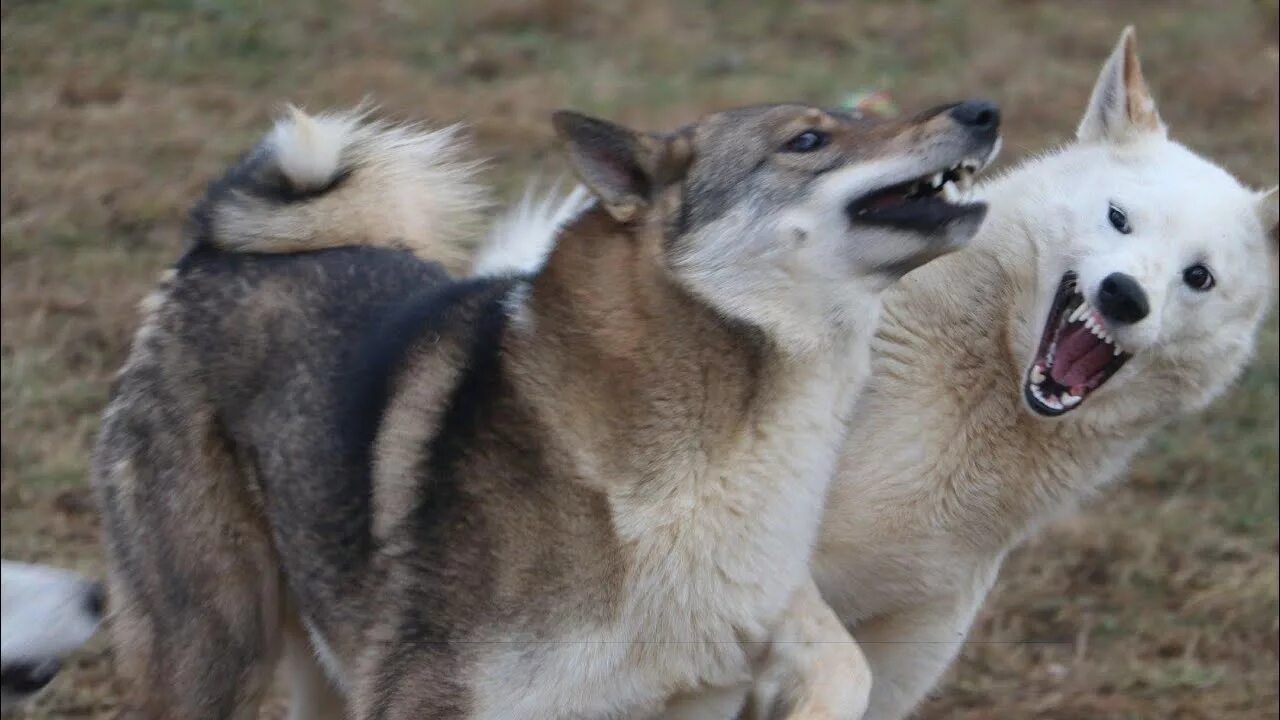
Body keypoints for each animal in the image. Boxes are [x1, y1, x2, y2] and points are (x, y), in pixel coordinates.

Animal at [97, 96, 998, 717]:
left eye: (861, 117)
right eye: (808, 141)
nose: (981, 111)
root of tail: (210, 255)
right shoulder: (430, 695)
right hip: (213, 650)